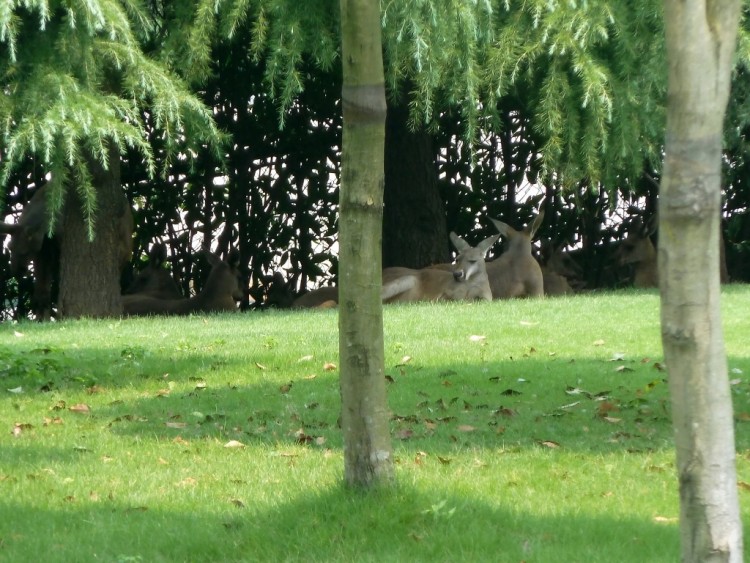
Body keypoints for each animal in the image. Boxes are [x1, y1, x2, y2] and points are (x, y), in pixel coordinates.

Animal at [0, 183, 134, 320]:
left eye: (25, 252)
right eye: (9, 247)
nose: (16, 271)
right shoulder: (43, 251)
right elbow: (42, 288)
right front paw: (41, 317)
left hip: (124, 250)